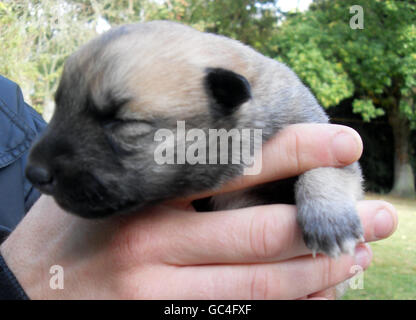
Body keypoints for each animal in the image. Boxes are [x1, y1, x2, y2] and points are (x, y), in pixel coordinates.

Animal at [26, 20, 364, 260]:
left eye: (124, 123)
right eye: (60, 105)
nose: (33, 173)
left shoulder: (319, 132)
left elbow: (328, 168)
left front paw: (329, 219)